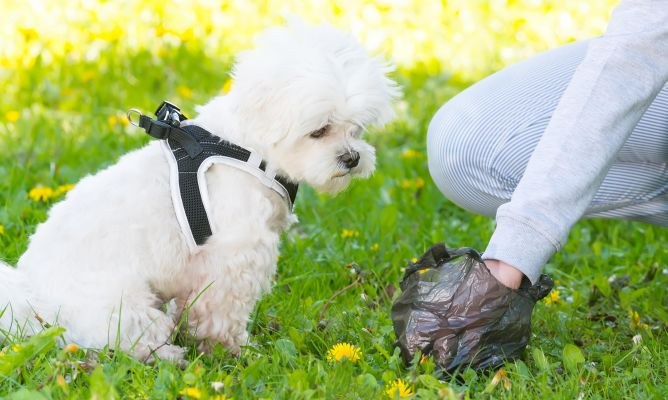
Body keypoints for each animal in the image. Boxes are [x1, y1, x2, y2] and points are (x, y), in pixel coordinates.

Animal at [0, 21, 396, 362]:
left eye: (356, 128)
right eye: (319, 131)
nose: (352, 158)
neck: (248, 148)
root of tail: (33, 299)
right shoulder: (234, 255)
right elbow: (222, 312)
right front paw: (231, 350)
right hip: (123, 308)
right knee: (131, 340)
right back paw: (168, 355)